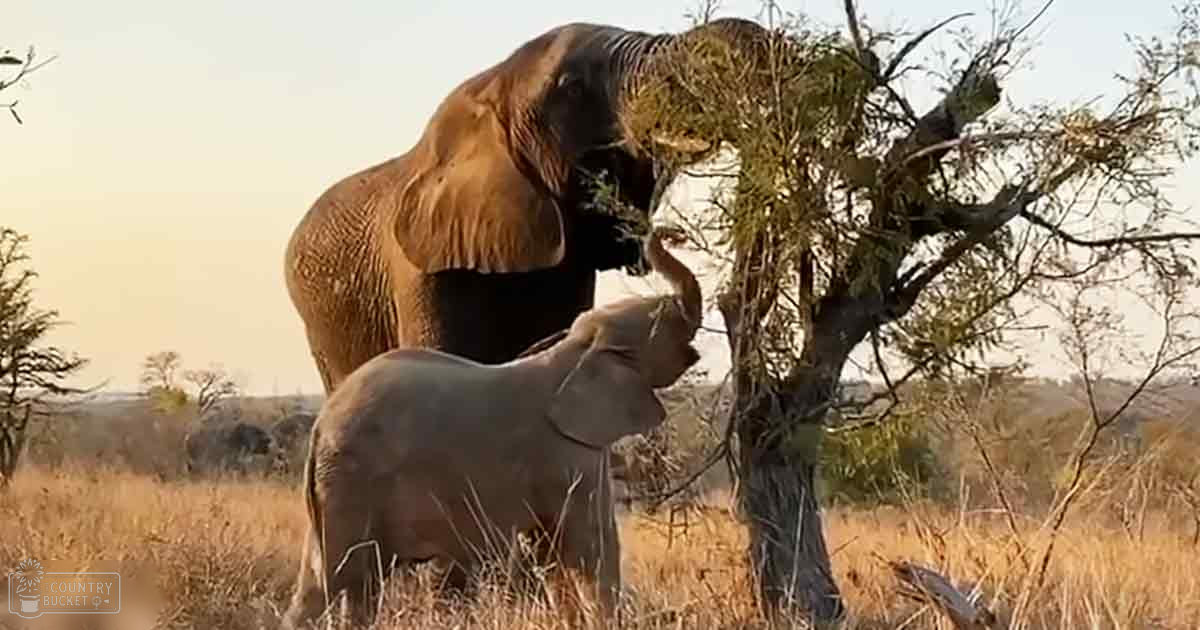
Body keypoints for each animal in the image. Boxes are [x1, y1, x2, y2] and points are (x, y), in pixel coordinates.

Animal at [281, 226, 703, 629]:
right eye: (663, 322)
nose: (671, 231)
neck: (578, 349)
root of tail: (319, 427)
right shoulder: (568, 452)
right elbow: (591, 549)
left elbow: (552, 556)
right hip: (352, 483)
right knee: (341, 581)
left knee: (336, 586)